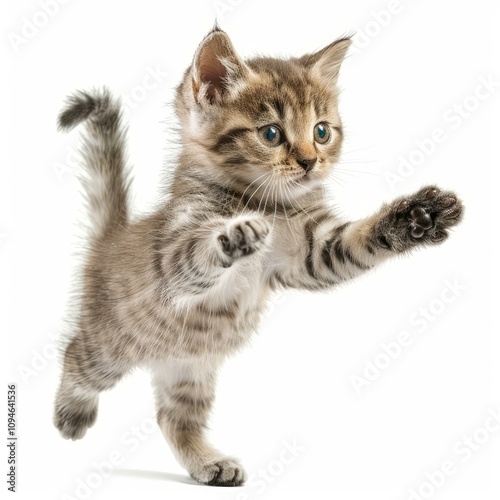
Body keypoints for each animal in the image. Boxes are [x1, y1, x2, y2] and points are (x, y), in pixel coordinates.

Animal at [52, 26, 462, 484]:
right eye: (271, 134)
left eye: (322, 131)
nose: (310, 162)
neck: (269, 204)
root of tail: (112, 238)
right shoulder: (173, 258)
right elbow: (194, 253)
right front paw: (236, 235)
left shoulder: (312, 253)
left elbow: (356, 241)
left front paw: (417, 217)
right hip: (112, 344)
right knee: (75, 355)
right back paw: (72, 413)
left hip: (190, 369)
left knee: (172, 417)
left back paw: (208, 463)